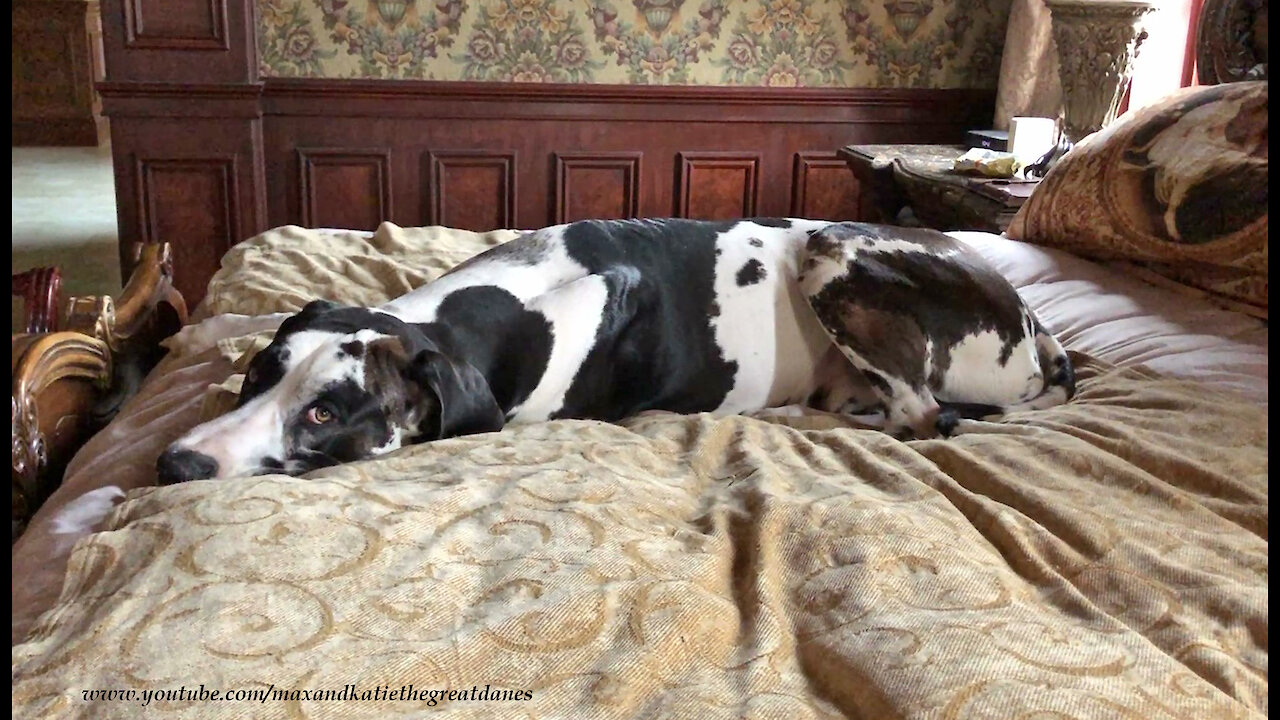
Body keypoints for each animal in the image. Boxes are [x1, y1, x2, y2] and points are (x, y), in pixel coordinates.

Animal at [154, 213, 1075, 481]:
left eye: (325, 413)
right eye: (259, 372)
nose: (174, 464)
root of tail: (1037, 325)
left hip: (833, 251)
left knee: (924, 416)